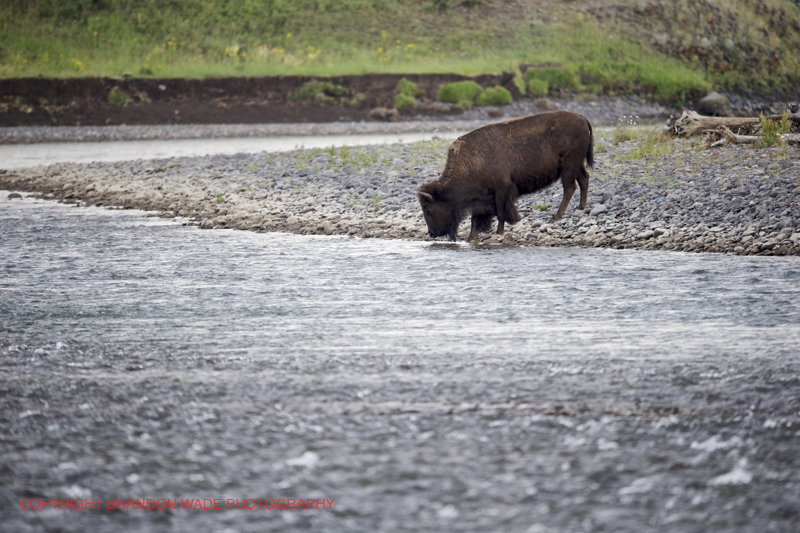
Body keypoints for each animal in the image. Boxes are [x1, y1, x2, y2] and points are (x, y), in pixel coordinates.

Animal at [418, 112, 592, 241]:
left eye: (428, 209)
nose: (431, 233)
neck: (471, 162)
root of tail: (582, 118)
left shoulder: (502, 190)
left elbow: (501, 213)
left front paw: (499, 233)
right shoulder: (481, 199)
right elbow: (476, 219)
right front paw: (470, 238)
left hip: (568, 166)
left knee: (569, 187)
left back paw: (557, 216)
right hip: (576, 165)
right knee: (584, 179)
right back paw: (581, 207)